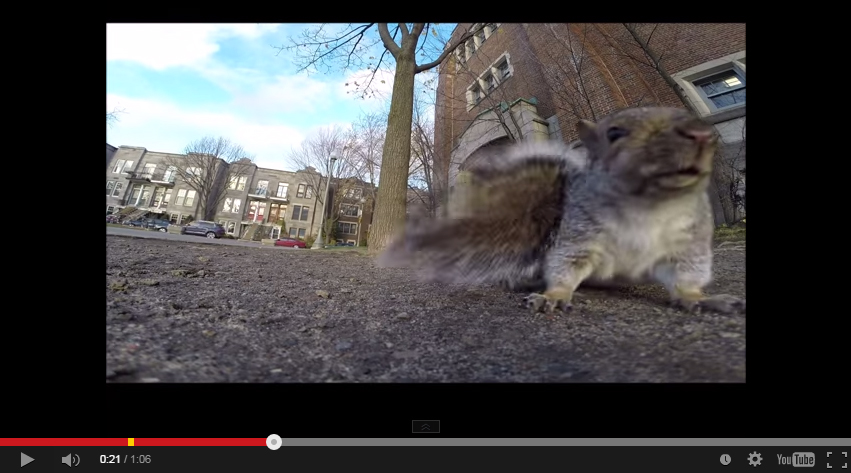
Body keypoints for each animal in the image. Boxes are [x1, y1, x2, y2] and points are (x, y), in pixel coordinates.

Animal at [380, 106, 744, 314]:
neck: (646, 205)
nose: (701, 134)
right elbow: (565, 268)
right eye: (614, 133)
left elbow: (685, 278)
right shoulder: (578, 239)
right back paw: (520, 282)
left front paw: (701, 299)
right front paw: (553, 296)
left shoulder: (687, 245)